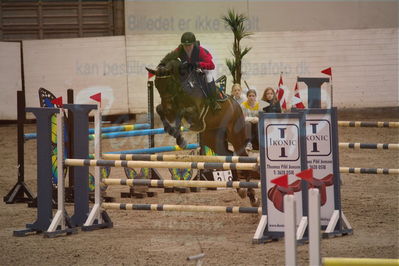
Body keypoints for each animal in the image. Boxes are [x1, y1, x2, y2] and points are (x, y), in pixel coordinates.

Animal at [146, 59, 260, 207]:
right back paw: (240, 190)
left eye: (169, 84)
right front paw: (175, 134)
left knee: (242, 157)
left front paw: (178, 135)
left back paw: (252, 196)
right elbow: (159, 109)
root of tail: (236, 105)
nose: (169, 110)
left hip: (235, 136)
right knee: (229, 156)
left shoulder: (194, 110)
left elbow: (183, 111)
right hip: (212, 139)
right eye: (157, 86)